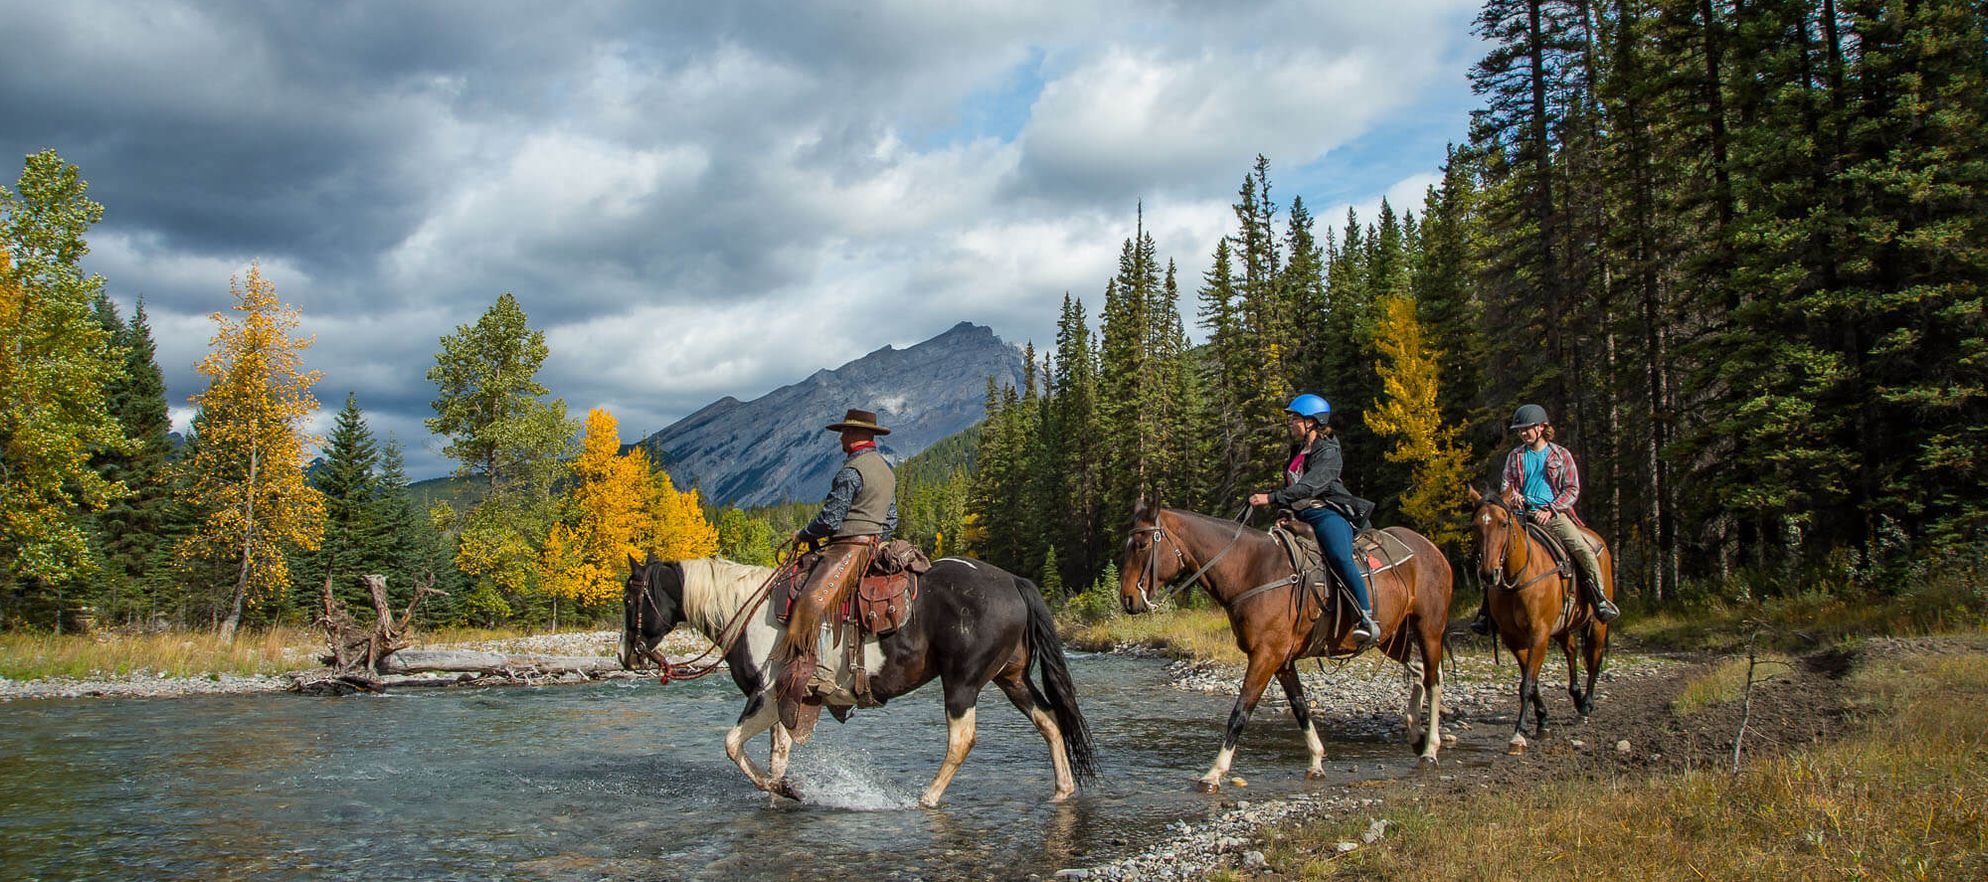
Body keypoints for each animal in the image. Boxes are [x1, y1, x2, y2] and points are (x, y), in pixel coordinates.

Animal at [616, 556, 1097, 806]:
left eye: (629, 597)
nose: (624, 655)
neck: (745, 611)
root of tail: (1014, 582)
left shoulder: (766, 696)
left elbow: (733, 744)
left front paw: (785, 790)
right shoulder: (785, 703)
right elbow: (777, 756)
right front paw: (780, 791)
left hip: (962, 683)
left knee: (962, 740)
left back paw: (927, 798)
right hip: (1010, 679)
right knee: (1050, 720)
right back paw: (1063, 789)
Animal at [1121, 498, 1463, 790]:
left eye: (1141, 545)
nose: (1127, 600)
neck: (1251, 571)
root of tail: (1432, 550)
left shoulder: (1265, 656)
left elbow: (1239, 713)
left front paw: (1213, 773)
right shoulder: (1282, 661)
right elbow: (1300, 708)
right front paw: (1316, 762)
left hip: (1429, 628)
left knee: (1433, 680)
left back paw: (1430, 749)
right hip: (1391, 636)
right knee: (1420, 670)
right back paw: (1415, 733)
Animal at [1463, 486, 1614, 754]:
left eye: (1504, 523)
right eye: (1475, 526)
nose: (1489, 574)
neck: (1519, 578)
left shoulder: (1539, 634)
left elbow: (1527, 684)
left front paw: (1519, 732)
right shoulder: (1514, 638)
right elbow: (1530, 682)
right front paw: (1542, 720)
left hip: (1598, 623)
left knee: (1594, 659)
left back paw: (1586, 706)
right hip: (1563, 627)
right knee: (1571, 651)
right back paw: (1577, 697)